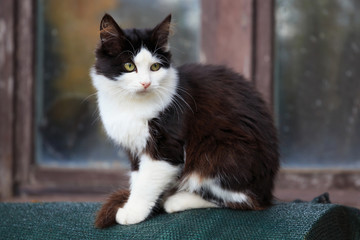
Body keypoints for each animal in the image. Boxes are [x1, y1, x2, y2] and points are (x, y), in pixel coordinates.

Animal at [90, 13, 278, 229]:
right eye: (129, 66)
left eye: (155, 67)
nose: (146, 83)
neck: (132, 104)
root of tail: (267, 189)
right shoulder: (134, 147)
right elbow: (138, 177)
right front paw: (135, 204)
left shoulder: (168, 144)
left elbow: (147, 181)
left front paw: (133, 212)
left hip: (221, 152)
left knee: (243, 200)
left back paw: (178, 200)